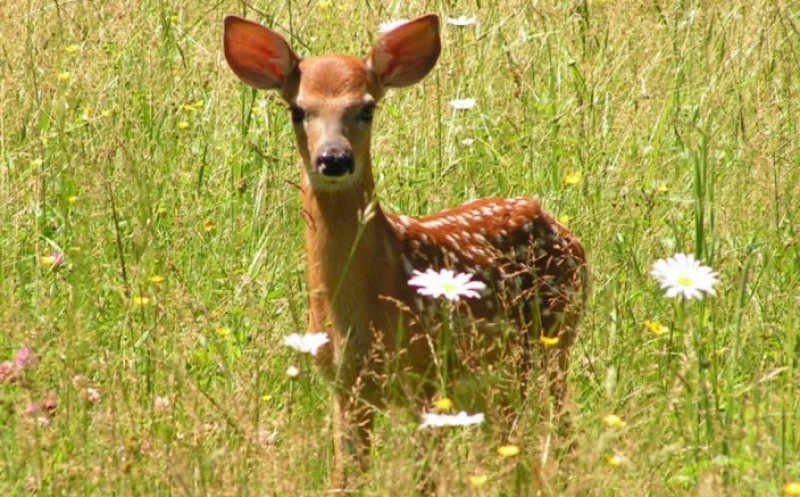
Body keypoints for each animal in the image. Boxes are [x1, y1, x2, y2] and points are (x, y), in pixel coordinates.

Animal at [223, 14, 588, 491]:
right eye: (297, 110)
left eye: (366, 108)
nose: (334, 159)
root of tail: (561, 227)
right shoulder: (345, 385)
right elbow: (345, 477)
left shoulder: (427, 376)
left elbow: (426, 480)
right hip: (499, 376)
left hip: (555, 340)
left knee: (561, 430)